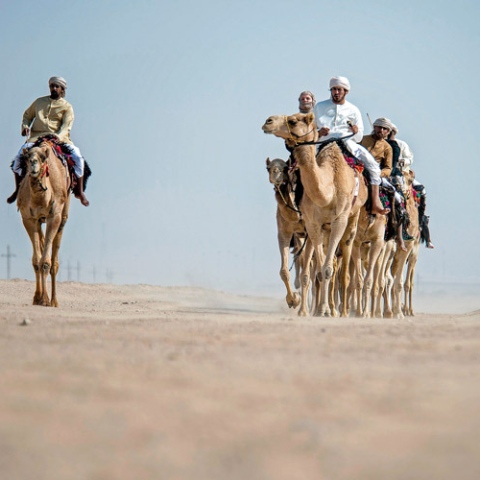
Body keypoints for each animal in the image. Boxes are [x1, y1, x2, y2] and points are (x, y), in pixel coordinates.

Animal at [16, 142, 71, 308]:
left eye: (42, 157)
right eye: (27, 156)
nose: (33, 163)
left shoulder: (54, 216)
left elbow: (46, 262)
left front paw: (46, 300)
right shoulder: (28, 218)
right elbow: (36, 261)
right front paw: (37, 297)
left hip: (63, 216)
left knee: (54, 262)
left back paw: (54, 301)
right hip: (40, 221)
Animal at [262, 112, 368, 316]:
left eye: (294, 120)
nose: (267, 121)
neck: (327, 191)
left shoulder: (339, 220)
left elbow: (326, 270)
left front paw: (325, 310)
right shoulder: (311, 224)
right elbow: (318, 270)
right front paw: (307, 305)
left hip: (352, 221)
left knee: (344, 270)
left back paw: (343, 311)